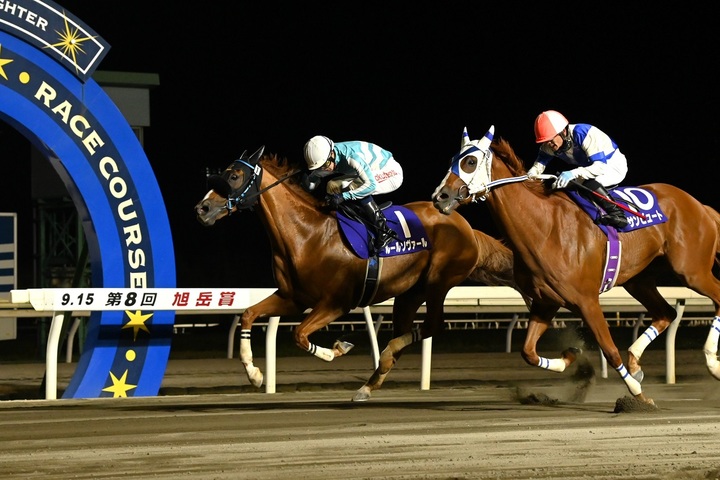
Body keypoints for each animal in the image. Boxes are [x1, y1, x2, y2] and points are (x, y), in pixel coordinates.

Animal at [195, 146, 517, 401]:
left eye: (234, 176)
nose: (202, 208)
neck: (307, 234)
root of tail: (467, 228)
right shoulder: (293, 298)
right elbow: (249, 315)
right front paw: (254, 374)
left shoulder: (336, 303)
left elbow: (299, 334)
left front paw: (338, 348)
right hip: (409, 293)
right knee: (407, 331)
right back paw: (368, 384)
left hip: (439, 282)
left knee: (432, 325)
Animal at [432, 126, 720, 406]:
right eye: (452, 159)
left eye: (470, 161)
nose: (439, 196)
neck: (546, 229)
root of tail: (700, 206)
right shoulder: (546, 302)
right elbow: (528, 352)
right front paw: (572, 356)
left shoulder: (587, 300)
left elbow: (609, 349)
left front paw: (638, 394)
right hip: (639, 279)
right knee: (666, 313)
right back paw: (638, 363)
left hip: (691, 271)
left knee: (713, 299)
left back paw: (711, 362)